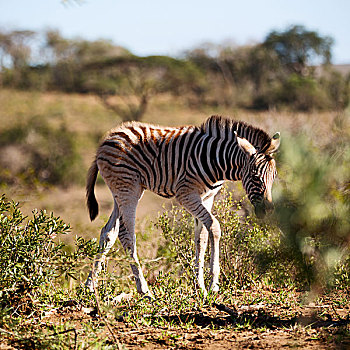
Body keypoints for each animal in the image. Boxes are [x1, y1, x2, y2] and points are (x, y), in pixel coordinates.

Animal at [86, 115, 280, 296]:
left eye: (274, 176)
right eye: (255, 177)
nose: (268, 211)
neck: (216, 160)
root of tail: (107, 138)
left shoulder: (207, 197)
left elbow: (201, 237)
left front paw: (200, 286)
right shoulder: (186, 195)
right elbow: (215, 227)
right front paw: (214, 285)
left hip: (120, 191)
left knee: (109, 232)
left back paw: (90, 286)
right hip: (128, 189)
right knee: (128, 235)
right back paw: (144, 289)